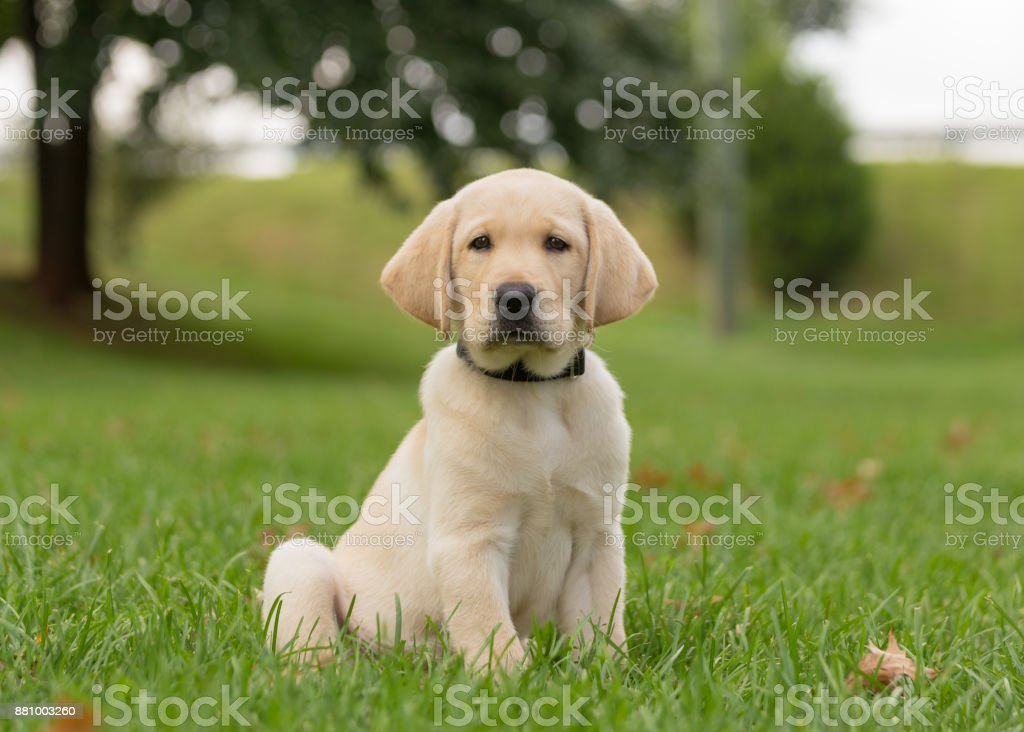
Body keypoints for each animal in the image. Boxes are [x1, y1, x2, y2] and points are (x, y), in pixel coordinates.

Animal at [258, 165, 655, 671]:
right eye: (480, 243)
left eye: (557, 243)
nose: (514, 298)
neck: (530, 390)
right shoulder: (468, 540)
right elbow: (489, 628)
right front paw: (507, 680)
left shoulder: (596, 537)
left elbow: (600, 625)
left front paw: (608, 676)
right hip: (300, 558)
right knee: (314, 641)